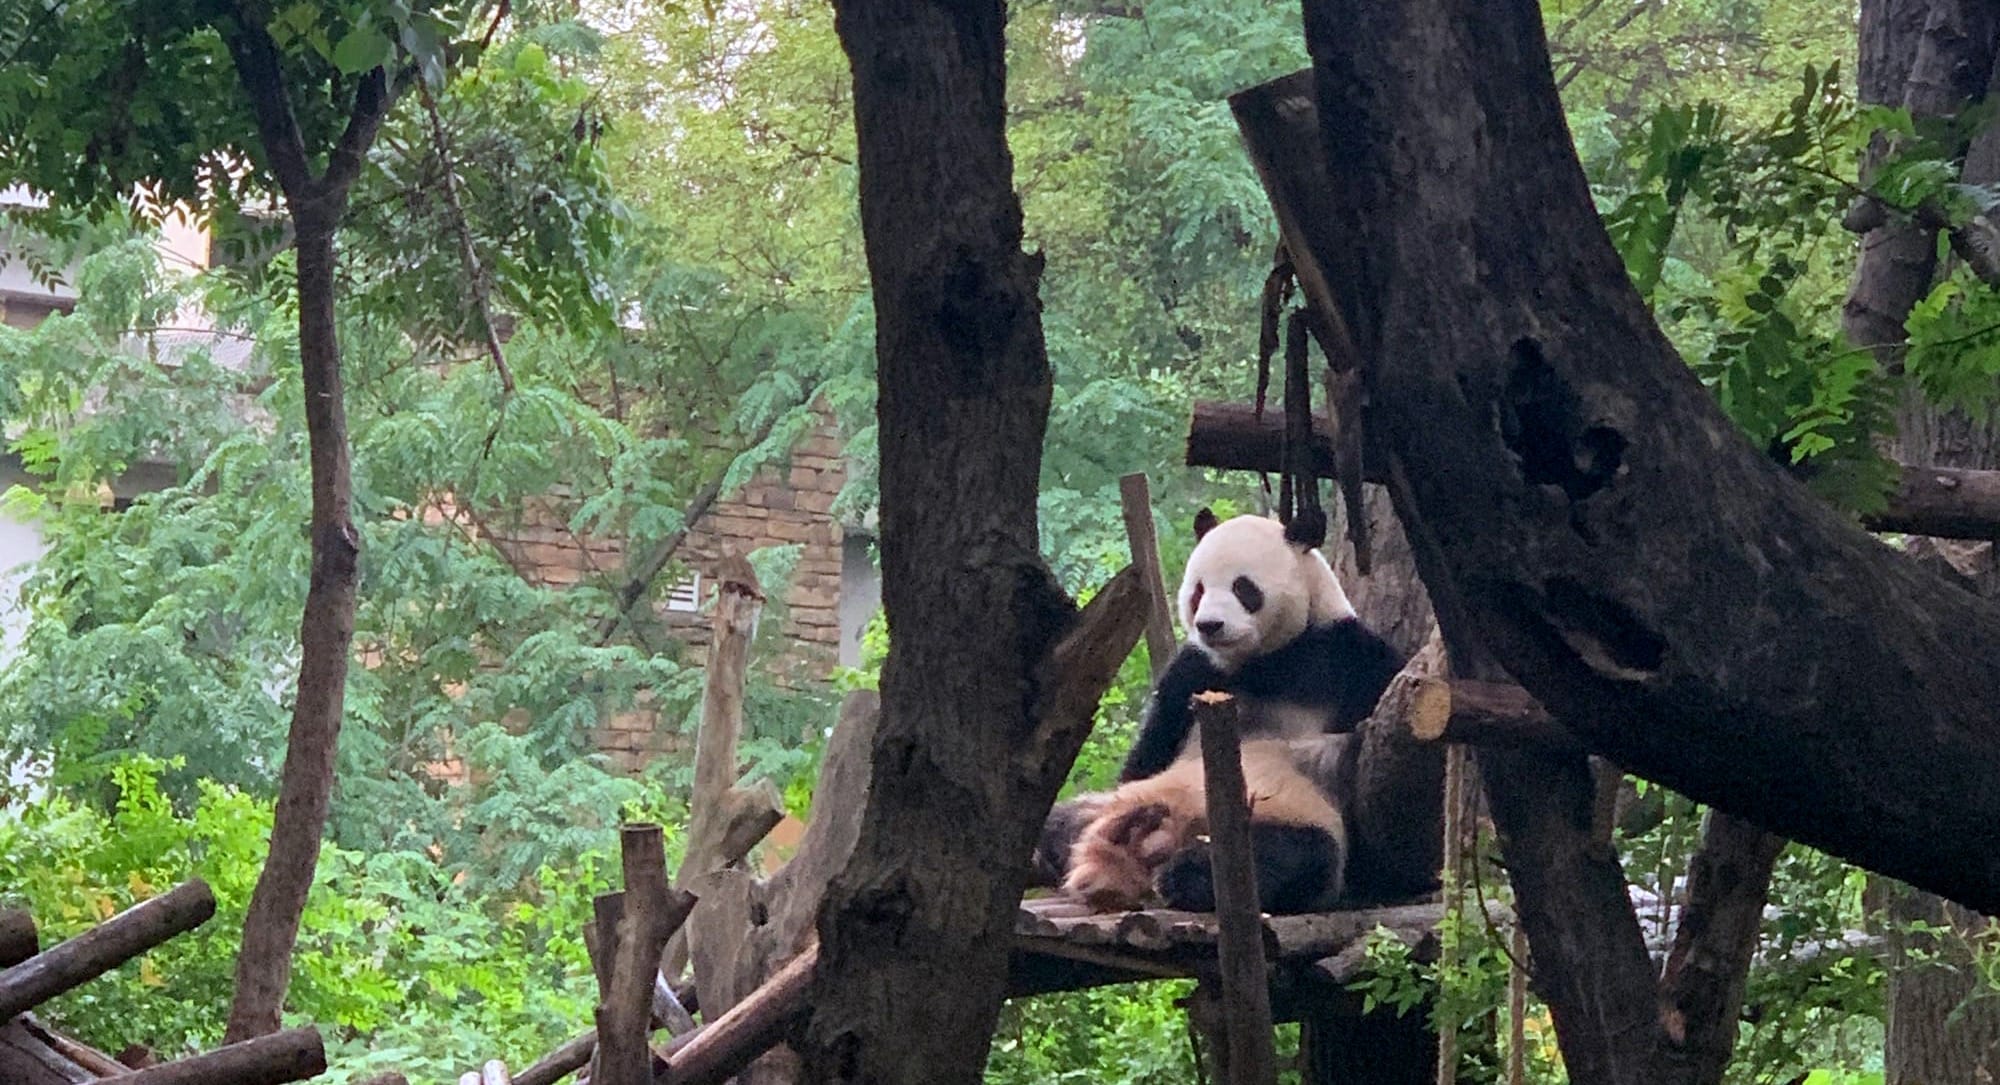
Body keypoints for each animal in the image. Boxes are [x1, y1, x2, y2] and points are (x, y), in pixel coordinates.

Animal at [1056, 510, 1400, 920]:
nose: (1210, 625)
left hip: (1278, 817)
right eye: (1199, 590)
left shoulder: (1348, 656)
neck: (1262, 660)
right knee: (1063, 822)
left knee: (1290, 855)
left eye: (1243, 588)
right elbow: (1152, 746)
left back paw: (1181, 872)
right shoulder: (1192, 673)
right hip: (1113, 805)